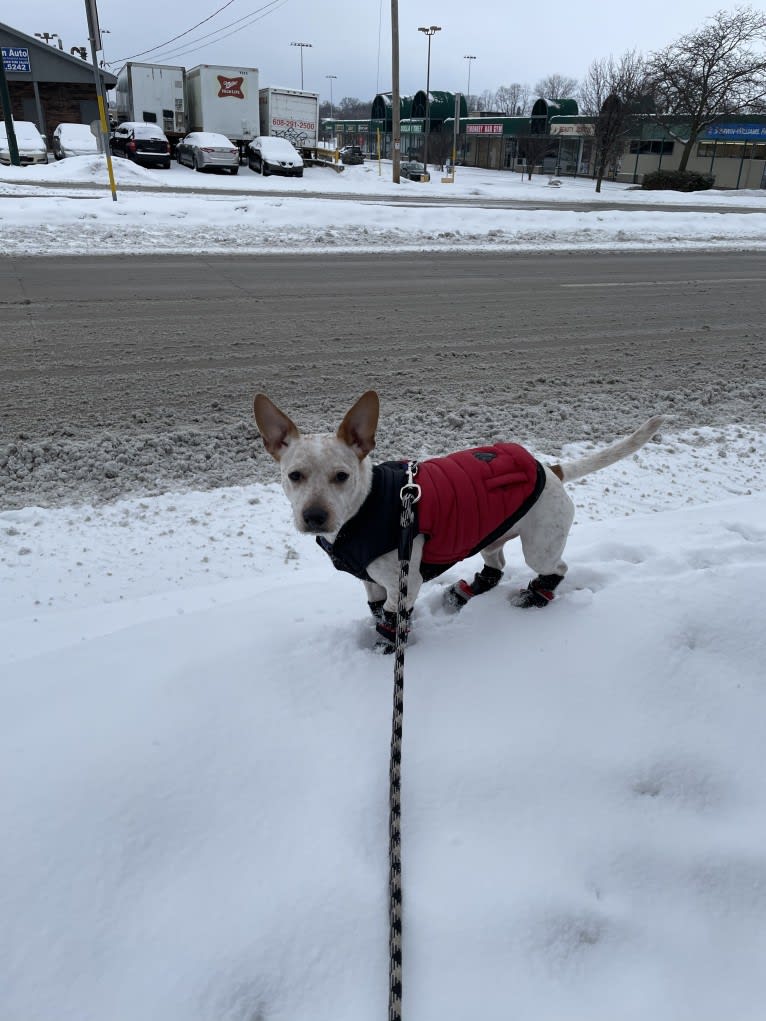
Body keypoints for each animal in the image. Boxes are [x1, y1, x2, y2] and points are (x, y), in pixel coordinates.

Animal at [255, 385, 661, 649]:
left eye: (341, 476)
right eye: (294, 476)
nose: (314, 516)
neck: (363, 509)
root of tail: (551, 469)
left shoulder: (405, 584)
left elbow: (393, 623)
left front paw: (386, 652)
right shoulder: (372, 584)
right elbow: (378, 612)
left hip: (540, 545)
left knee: (555, 567)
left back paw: (534, 597)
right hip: (491, 532)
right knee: (496, 565)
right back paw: (468, 590)